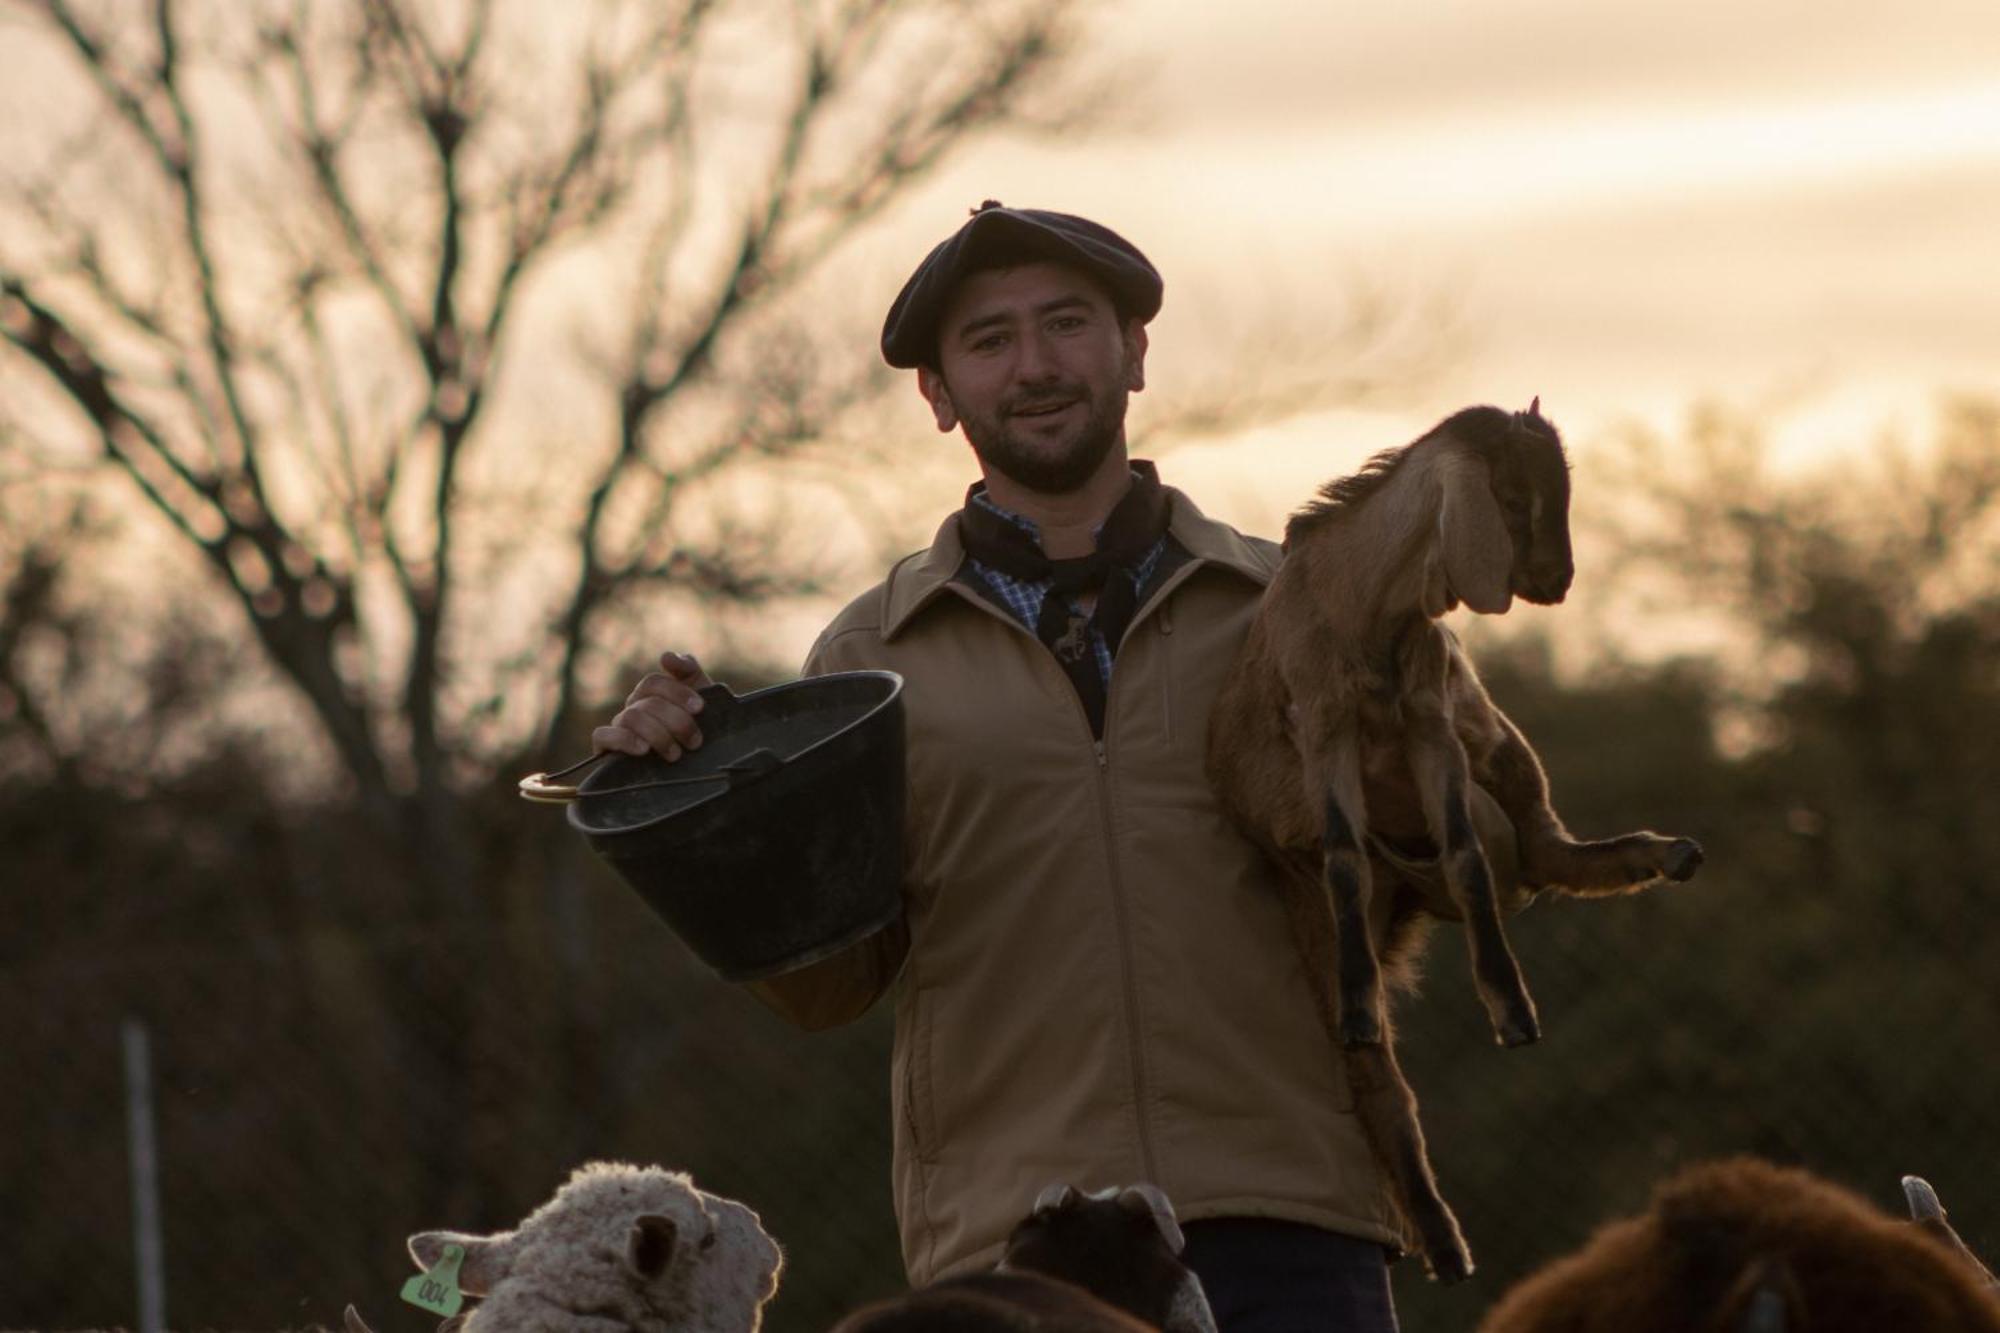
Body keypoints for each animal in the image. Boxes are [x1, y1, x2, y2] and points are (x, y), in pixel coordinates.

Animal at [1200, 396, 1704, 1280]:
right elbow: (1343, 859)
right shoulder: (1324, 731)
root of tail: (1405, 903)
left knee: (1542, 850)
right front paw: (1367, 1005)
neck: (1364, 611)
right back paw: (1437, 1237)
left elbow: (1469, 856)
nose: (1559, 581)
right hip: (1323, 915)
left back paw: (1666, 852)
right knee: (1375, 1075)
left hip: (1497, 739)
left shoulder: (1434, 722)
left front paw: (1512, 1008)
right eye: (1511, 496)